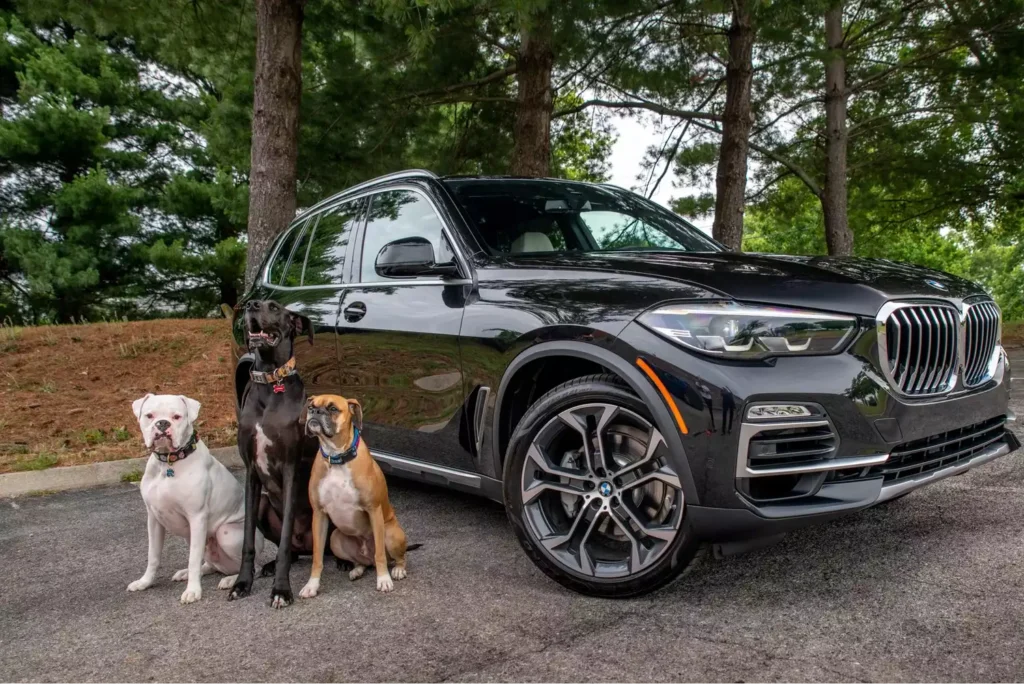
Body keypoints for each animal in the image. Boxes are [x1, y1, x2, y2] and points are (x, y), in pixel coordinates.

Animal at [126, 395, 264, 602]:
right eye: (149, 415)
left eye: (176, 416)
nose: (162, 423)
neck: (169, 463)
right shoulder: (154, 519)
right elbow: (153, 556)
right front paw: (145, 582)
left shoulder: (197, 517)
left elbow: (192, 559)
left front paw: (193, 591)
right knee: (208, 564)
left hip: (226, 533)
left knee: (255, 567)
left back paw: (230, 580)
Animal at [229, 301, 317, 610]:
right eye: (257, 302)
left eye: (276, 307)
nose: (251, 305)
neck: (270, 382)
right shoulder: (251, 473)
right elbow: (247, 541)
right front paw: (242, 583)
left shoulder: (290, 468)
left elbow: (286, 537)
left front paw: (281, 590)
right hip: (265, 504)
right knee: (292, 550)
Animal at [299, 393, 409, 593]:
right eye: (311, 406)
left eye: (333, 408)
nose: (315, 412)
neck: (336, 457)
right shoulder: (319, 514)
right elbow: (317, 557)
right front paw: (312, 585)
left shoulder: (373, 510)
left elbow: (380, 554)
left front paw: (383, 579)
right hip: (335, 538)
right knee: (361, 562)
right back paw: (357, 570)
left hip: (390, 533)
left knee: (396, 558)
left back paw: (397, 570)